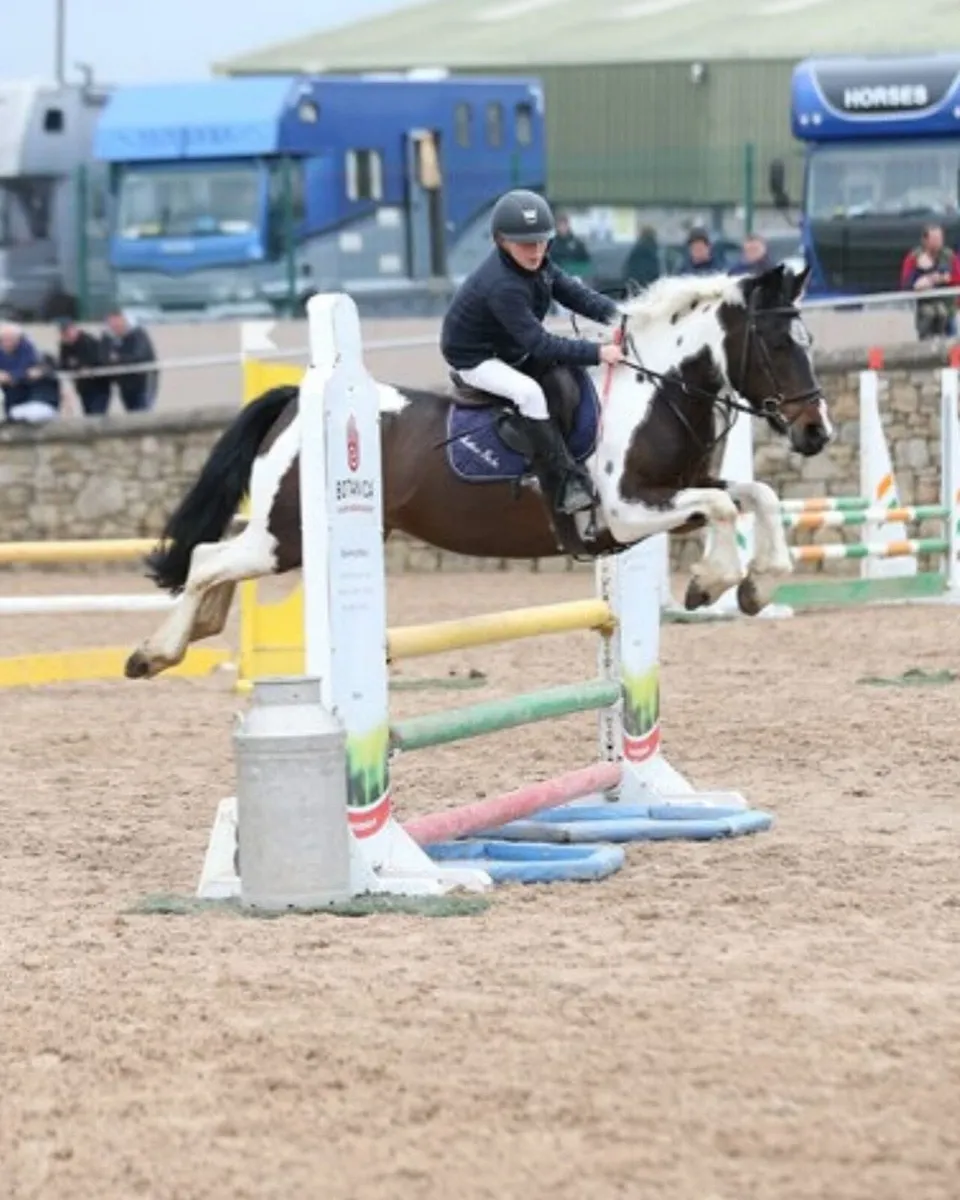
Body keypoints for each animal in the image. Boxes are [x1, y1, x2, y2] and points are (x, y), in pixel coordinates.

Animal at [124, 262, 832, 681]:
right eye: (776, 344)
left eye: (809, 342)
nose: (816, 432)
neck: (651, 389)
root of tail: (297, 400)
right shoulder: (629, 510)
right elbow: (726, 507)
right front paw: (710, 584)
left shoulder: (671, 496)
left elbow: (757, 496)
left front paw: (756, 587)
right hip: (287, 535)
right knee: (209, 559)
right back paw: (153, 652)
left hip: (284, 535)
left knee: (214, 560)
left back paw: (191, 633)